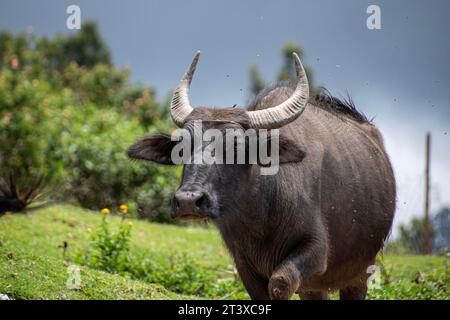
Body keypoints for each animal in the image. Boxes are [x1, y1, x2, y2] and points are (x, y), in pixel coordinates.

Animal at [128, 52, 396, 300]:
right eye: (182, 148)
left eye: (236, 146)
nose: (187, 201)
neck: (261, 217)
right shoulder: (243, 262)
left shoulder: (316, 253)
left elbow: (279, 284)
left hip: (360, 273)